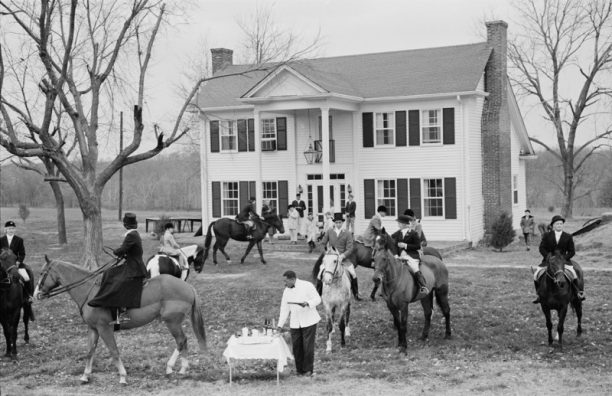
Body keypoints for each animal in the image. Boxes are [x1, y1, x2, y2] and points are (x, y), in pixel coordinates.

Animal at [35, 256, 208, 384]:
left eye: (43, 273)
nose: (36, 294)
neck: (91, 292)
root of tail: (188, 287)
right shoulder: (93, 329)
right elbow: (90, 351)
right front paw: (85, 376)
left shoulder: (104, 328)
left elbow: (113, 351)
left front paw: (123, 376)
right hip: (174, 322)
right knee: (183, 341)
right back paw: (182, 369)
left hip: (171, 322)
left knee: (181, 340)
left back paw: (171, 367)